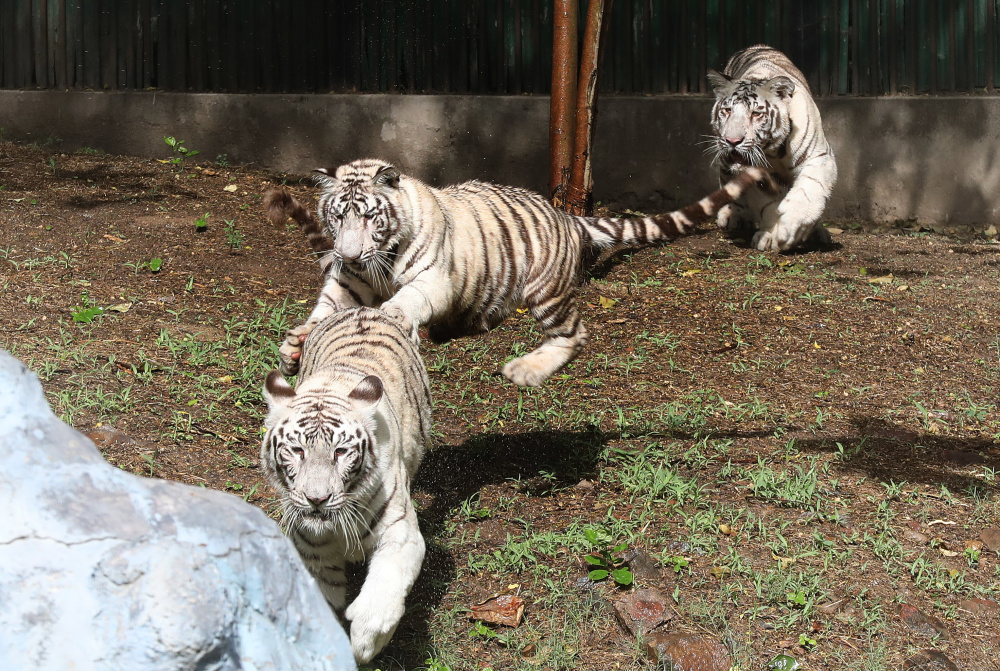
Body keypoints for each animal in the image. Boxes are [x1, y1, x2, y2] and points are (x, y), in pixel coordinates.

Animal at [258, 308, 430, 664]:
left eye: (340, 452)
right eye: (297, 450)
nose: (316, 499)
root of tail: (367, 310)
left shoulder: (401, 531)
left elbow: (386, 585)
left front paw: (367, 640)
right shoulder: (310, 548)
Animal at [264, 158, 772, 386]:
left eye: (370, 217)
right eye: (337, 217)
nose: (347, 253)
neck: (379, 261)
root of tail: (567, 216)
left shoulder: (432, 277)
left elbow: (406, 300)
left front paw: (392, 318)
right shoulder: (346, 284)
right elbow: (323, 311)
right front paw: (294, 346)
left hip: (545, 292)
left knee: (574, 335)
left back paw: (526, 370)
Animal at [708, 44, 840, 253]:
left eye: (756, 114)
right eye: (727, 110)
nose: (732, 140)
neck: (774, 151)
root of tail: (756, 47)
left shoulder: (819, 158)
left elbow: (807, 193)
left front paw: (789, 229)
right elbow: (767, 205)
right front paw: (771, 235)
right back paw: (733, 215)